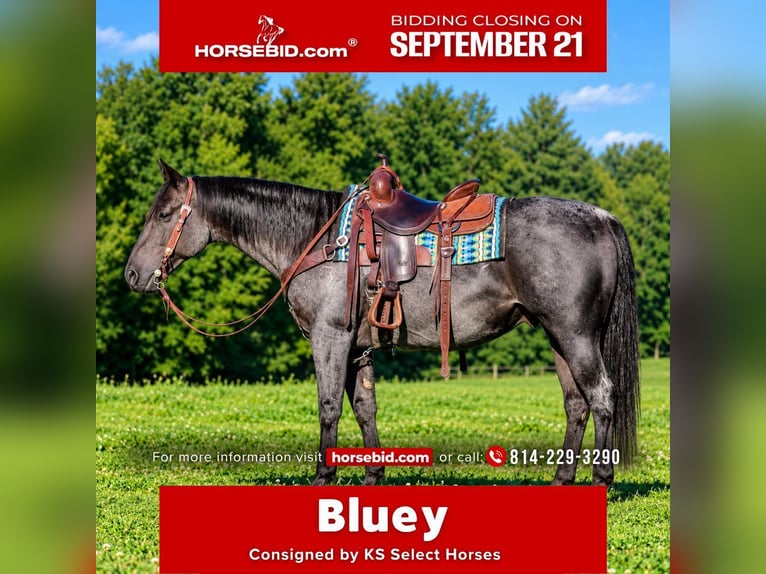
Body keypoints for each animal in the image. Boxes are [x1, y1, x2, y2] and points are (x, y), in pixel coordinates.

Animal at [124, 160, 640, 487]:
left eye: (164, 214)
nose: (132, 275)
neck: (317, 240)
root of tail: (601, 217)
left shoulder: (330, 338)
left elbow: (329, 406)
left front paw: (324, 476)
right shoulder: (358, 346)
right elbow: (364, 407)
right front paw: (373, 473)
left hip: (575, 335)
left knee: (601, 396)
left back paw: (601, 479)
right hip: (557, 337)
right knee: (576, 404)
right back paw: (561, 479)